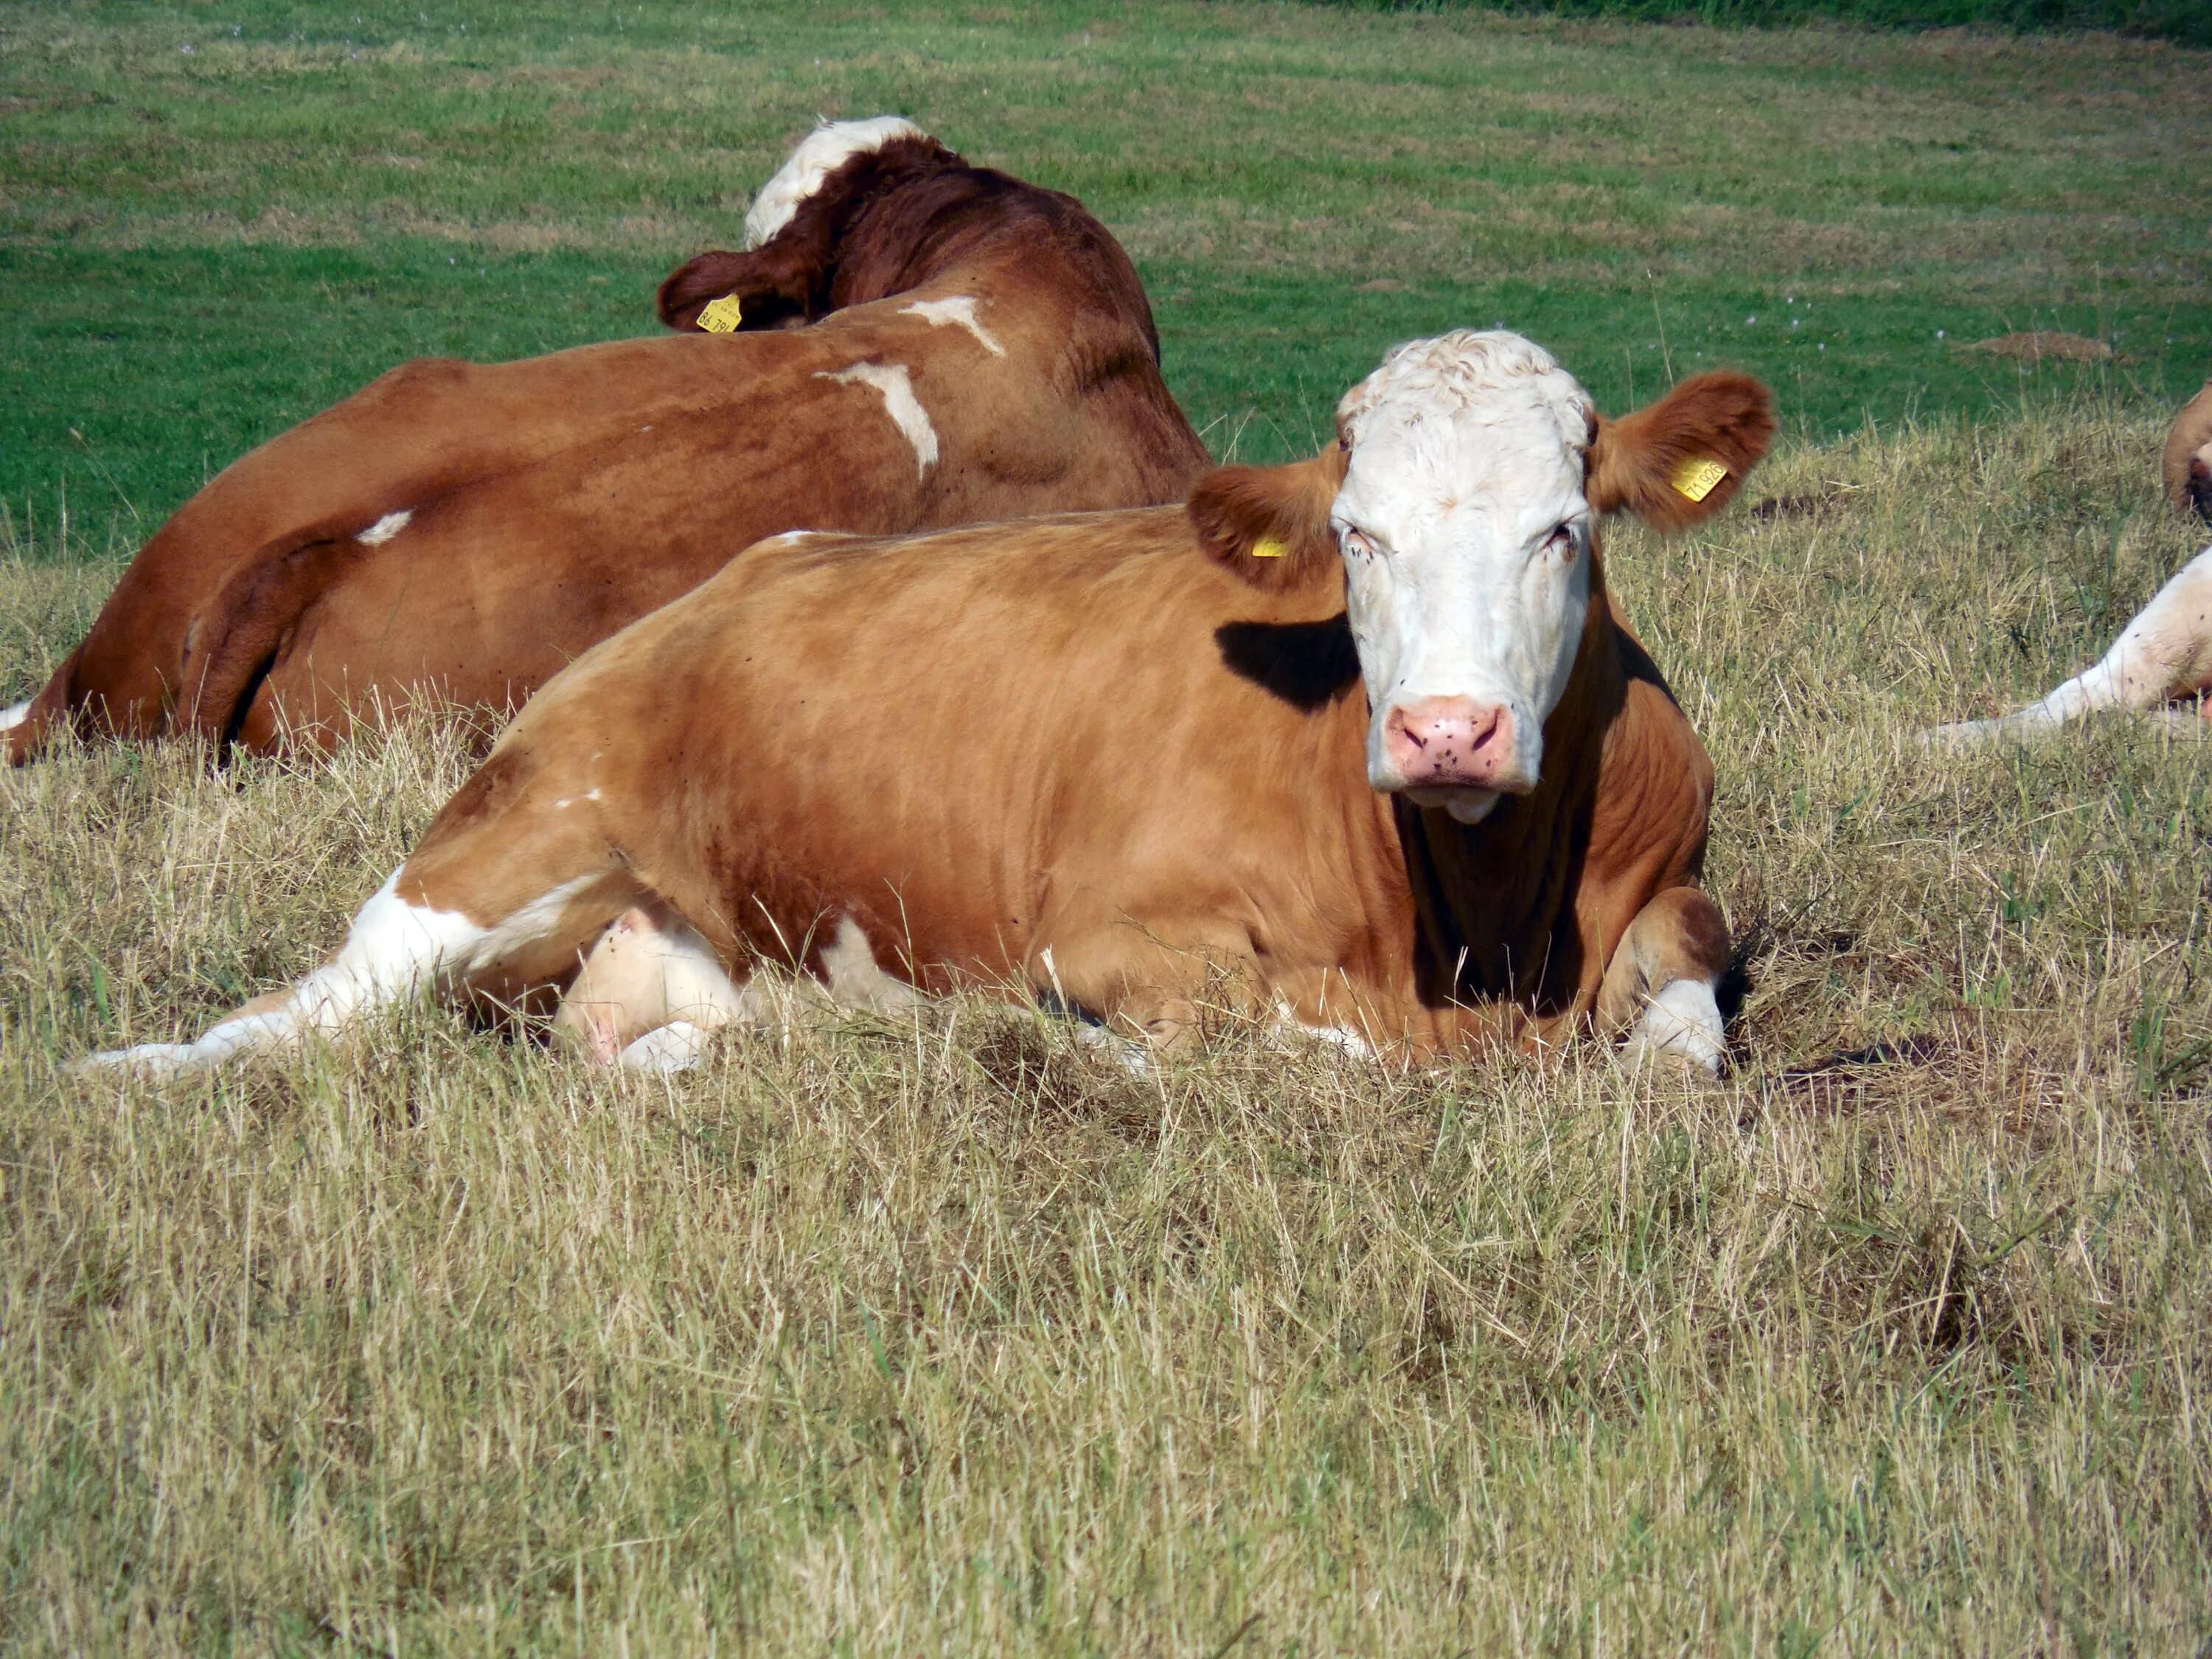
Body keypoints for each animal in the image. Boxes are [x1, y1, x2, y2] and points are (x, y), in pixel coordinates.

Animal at [91, 336, 1778, 1084]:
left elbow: (1684, 1033)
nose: (1445, 733)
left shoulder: (1679, 898)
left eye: (1564, 528)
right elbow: (1284, 1042)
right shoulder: (1112, 940)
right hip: (507, 838)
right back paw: (127, 1077)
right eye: (1356, 535)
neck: (1472, 921)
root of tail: (722, 585)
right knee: (299, 1016)